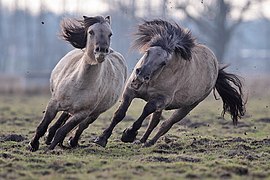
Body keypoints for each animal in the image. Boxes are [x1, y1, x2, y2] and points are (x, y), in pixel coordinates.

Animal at [29, 15, 128, 151]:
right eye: (91, 32)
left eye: (110, 34)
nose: (101, 51)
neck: (79, 82)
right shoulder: (53, 104)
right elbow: (42, 126)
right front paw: (33, 145)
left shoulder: (82, 113)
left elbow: (63, 131)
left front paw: (50, 149)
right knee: (64, 115)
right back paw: (50, 137)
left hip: (94, 113)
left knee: (81, 126)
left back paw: (72, 142)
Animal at [94, 18, 245, 148]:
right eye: (148, 51)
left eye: (164, 62)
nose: (141, 76)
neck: (154, 78)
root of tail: (216, 67)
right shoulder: (130, 91)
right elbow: (119, 114)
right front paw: (101, 139)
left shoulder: (159, 100)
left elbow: (146, 111)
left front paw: (128, 134)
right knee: (154, 122)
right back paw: (142, 141)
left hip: (188, 106)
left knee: (166, 124)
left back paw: (149, 142)